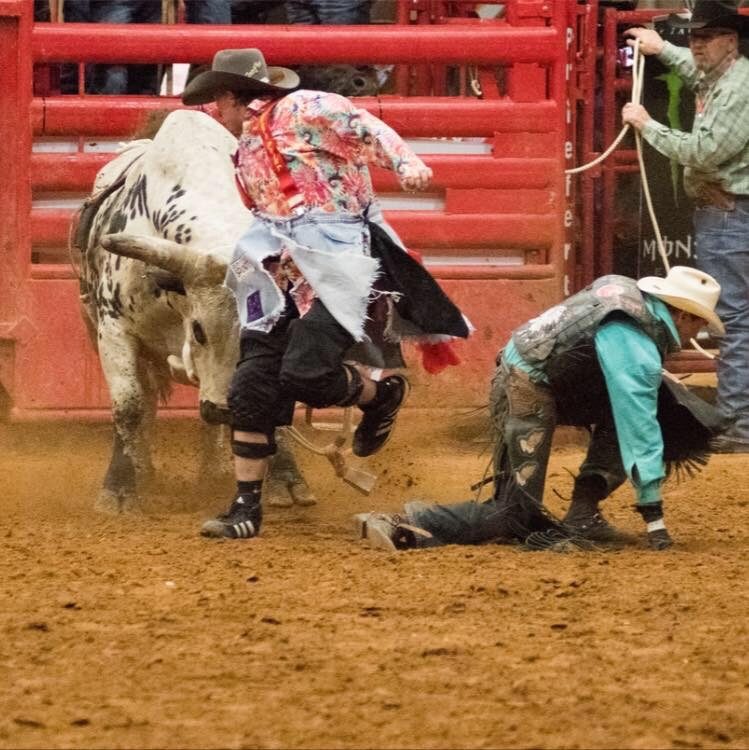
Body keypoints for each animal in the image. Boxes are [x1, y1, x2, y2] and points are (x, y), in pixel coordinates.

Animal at [79, 108, 316, 516]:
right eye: (200, 329)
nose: (227, 410)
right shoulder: (114, 330)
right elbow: (129, 406)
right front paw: (119, 489)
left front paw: (286, 479)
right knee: (144, 402)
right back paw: (144, 469)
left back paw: (214, 468)